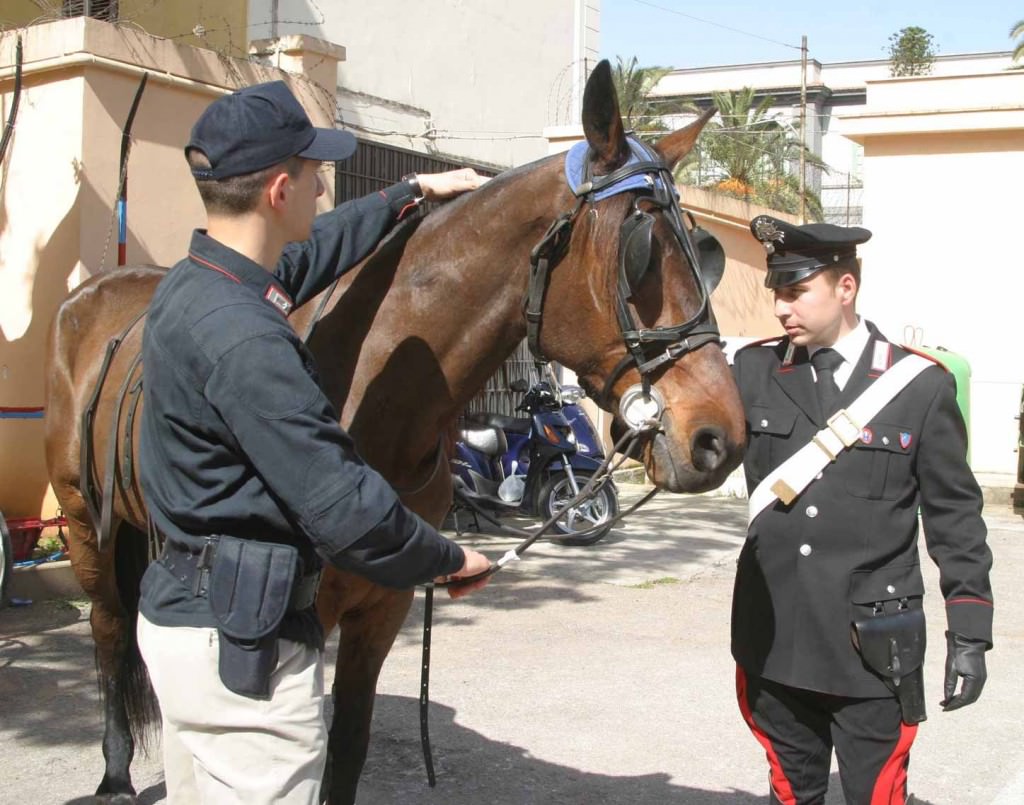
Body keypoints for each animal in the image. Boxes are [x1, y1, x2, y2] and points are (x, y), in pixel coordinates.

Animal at [43, 60, 745, 804]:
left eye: (705, 249)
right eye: (642, 252)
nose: (719, 435)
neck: (370, 398)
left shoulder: (382, 608)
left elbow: (348, 747)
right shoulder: (305, 617)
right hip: (85, 523)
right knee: (110, 628)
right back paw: (115, 769)